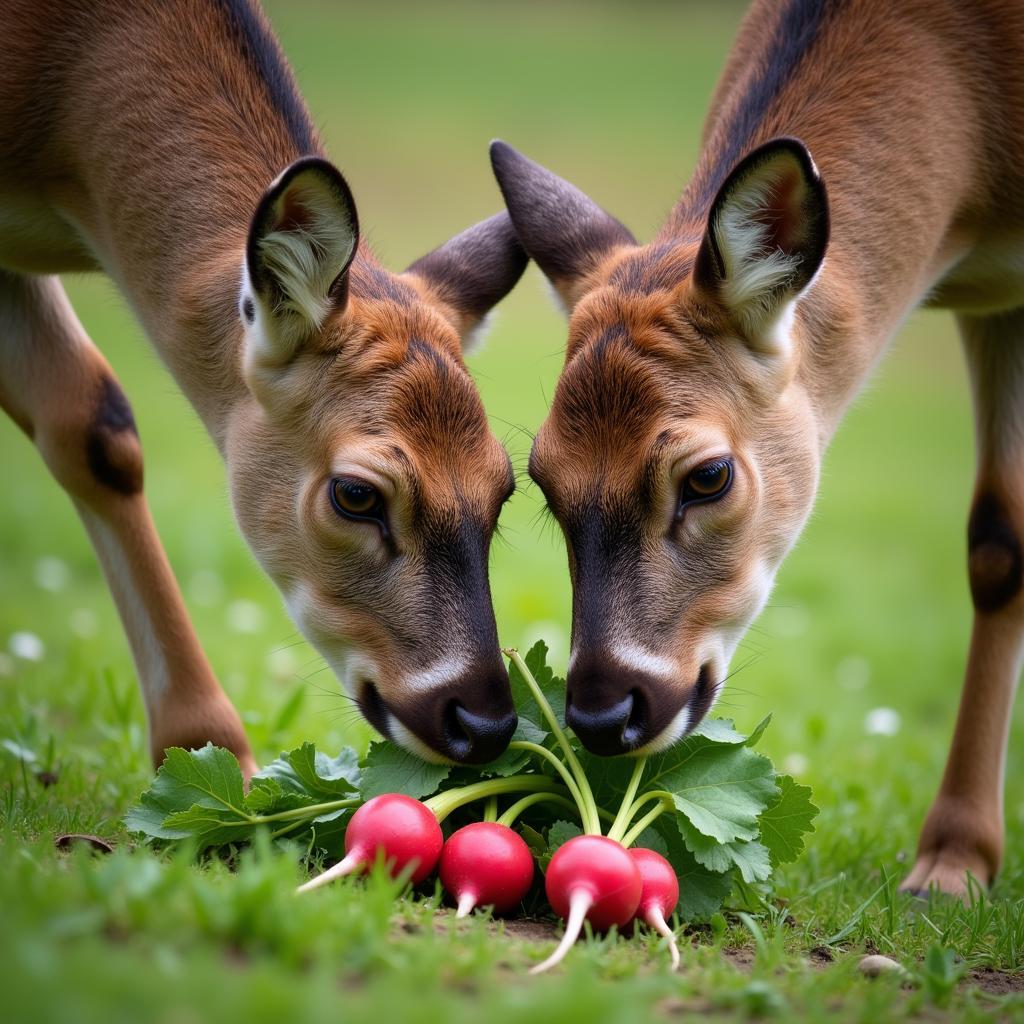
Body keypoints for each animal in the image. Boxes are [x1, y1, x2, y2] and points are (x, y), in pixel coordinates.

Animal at [489, 0, 1024, 897]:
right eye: (542, 480)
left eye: (709, 475)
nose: (603, 712)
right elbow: (997, 544)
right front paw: (958, 859)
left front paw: (950, 868)